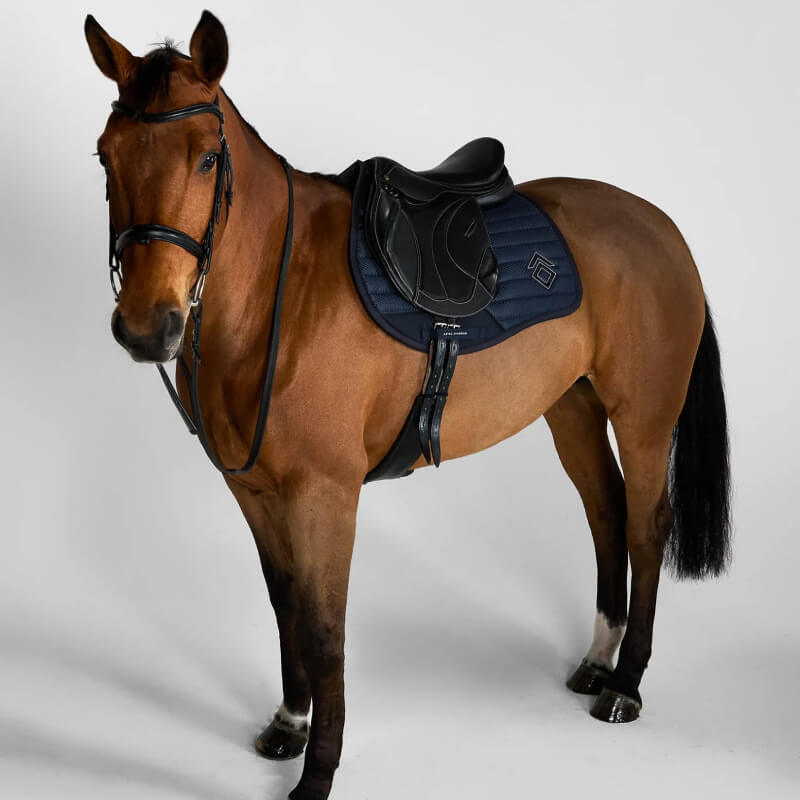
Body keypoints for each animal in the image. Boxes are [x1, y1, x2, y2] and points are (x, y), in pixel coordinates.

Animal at [85, 11, 731, 800]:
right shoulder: (256, 493)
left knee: (645, 526)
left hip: (643, 421)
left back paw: (626, 685)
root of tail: (660, 226)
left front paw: (317, 773)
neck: (281, 294)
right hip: (571, 412)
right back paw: (596, 662)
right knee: (606, 513)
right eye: (106, 156)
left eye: (207, 158)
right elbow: (285, 604)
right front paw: (291, 724)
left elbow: (324, 625)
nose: (148, 327)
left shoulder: (325, 494)